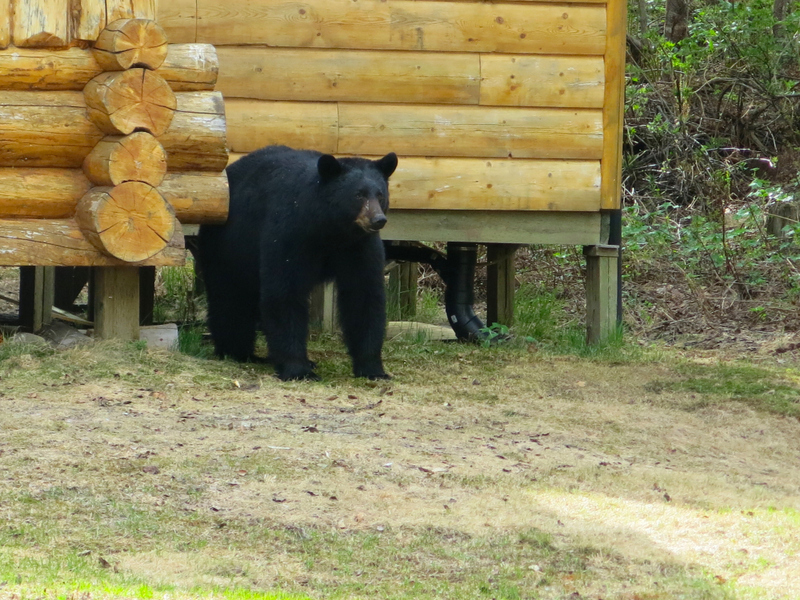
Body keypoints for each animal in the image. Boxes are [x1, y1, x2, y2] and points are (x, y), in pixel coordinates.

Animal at [197, 145, 396, 380]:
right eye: (358, 195)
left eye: (380, 195)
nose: (378, 220)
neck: (332, 231)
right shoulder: (291, 232)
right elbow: (285, 292)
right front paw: (297, 369)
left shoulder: (359, 246)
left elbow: (364, 295)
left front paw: (373, 368)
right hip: (230, 246)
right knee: (231, 296)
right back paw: (237, 352)